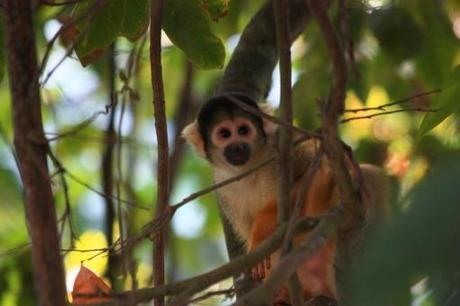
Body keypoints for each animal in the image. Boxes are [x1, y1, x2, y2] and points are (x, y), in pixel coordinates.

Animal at [181, 95, 386, 304]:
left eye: (243, 130)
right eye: (224, 134)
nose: (237, 146)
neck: (250, 167)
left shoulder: (282, 143)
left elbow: (308, 170)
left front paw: (261, 231)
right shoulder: (223, 188)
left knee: (362, 174)